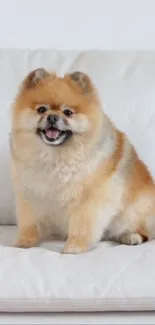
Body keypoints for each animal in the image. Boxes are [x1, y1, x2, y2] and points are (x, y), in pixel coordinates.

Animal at [10, 67, 155, 252]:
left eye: (68, 112)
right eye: (41, 109)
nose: (52, 117)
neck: (56, 155)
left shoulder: (88, 200)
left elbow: (82, 225)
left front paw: (75, 246)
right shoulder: (31, 194)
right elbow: (29, 222)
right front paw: (25, 241)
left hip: (134, 212)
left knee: (144, 230)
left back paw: (131, 236)